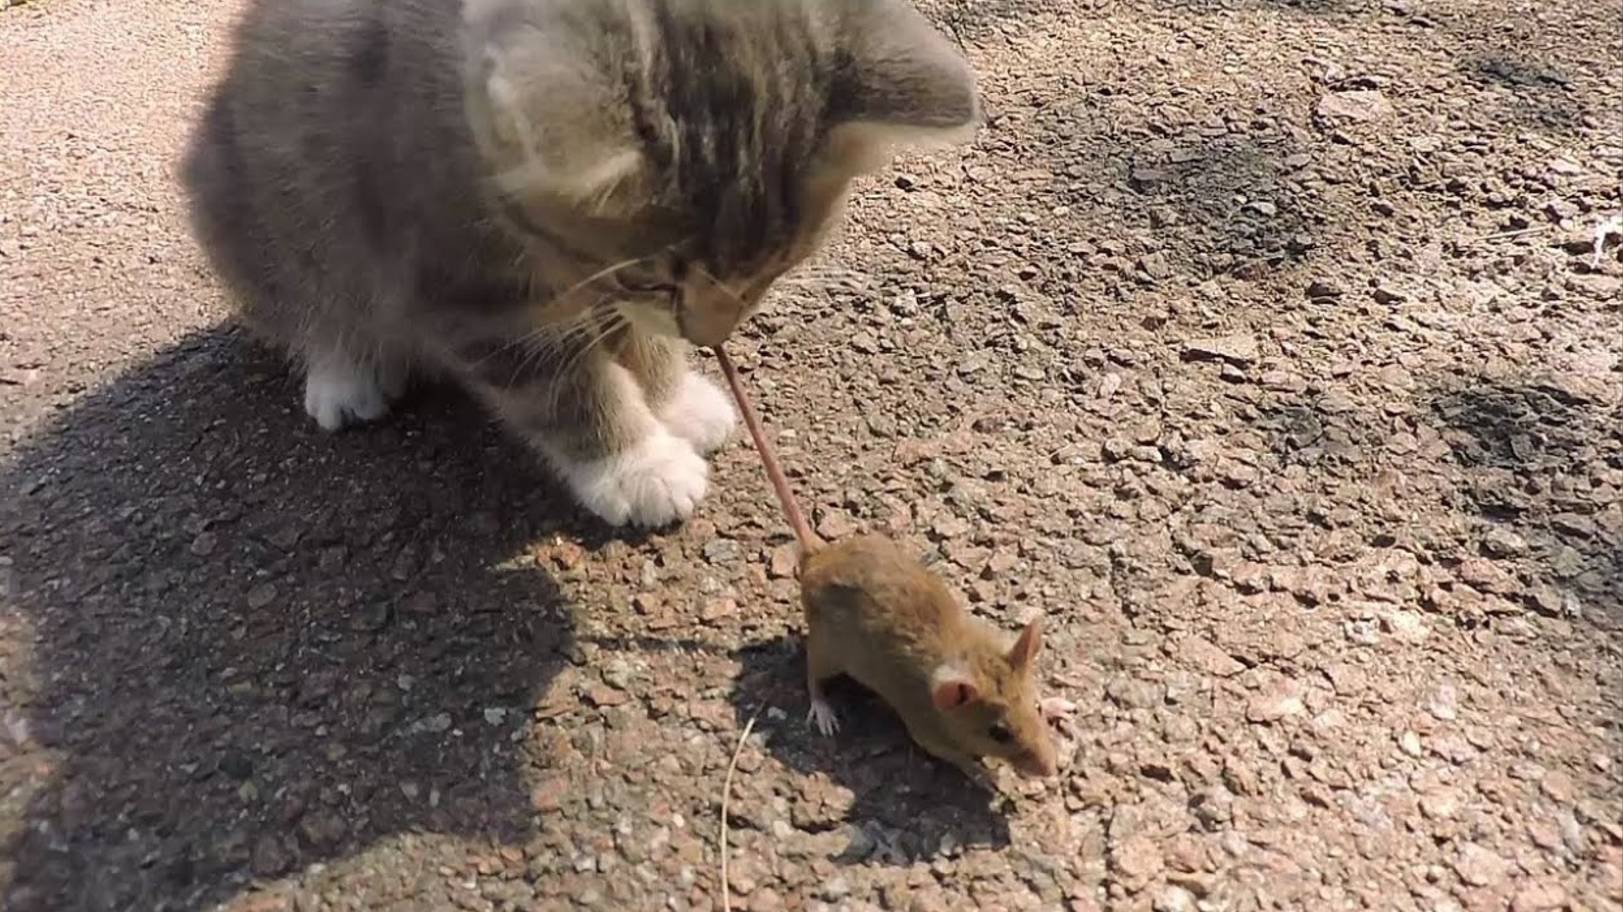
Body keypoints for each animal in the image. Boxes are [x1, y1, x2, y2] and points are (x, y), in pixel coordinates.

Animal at [181, 0, 980, 527]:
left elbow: (634, 335)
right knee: (300, 301)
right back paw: (343, 371)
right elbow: (561, 385)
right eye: (654, 275)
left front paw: (672, 398)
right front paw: (637, 466)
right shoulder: (459, 279)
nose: (711, 337)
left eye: (773, 271)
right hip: (249, 209)